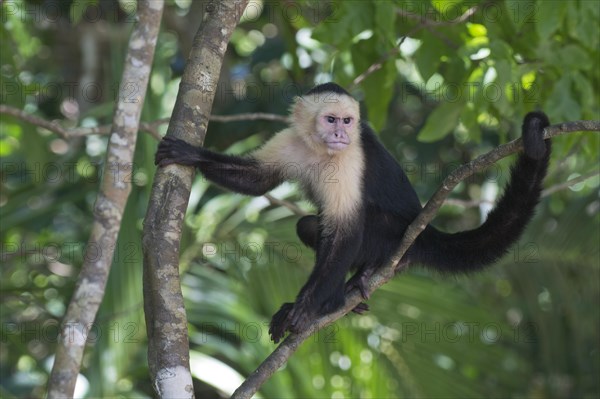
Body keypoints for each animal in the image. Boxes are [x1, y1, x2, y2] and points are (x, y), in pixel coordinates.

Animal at [155, 82, 552, 344]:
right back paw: (347, 288)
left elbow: (346, 231)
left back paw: (344, 289)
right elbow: (258, 180)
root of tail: (424, 232)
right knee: (308, 226)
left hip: (393, 237)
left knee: (356, 229)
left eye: (347, 122)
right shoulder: (291, 139)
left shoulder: (351, 159)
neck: (322, 149)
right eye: (330, 119)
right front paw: (190, 154)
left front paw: (305, 309)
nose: (340, 135)